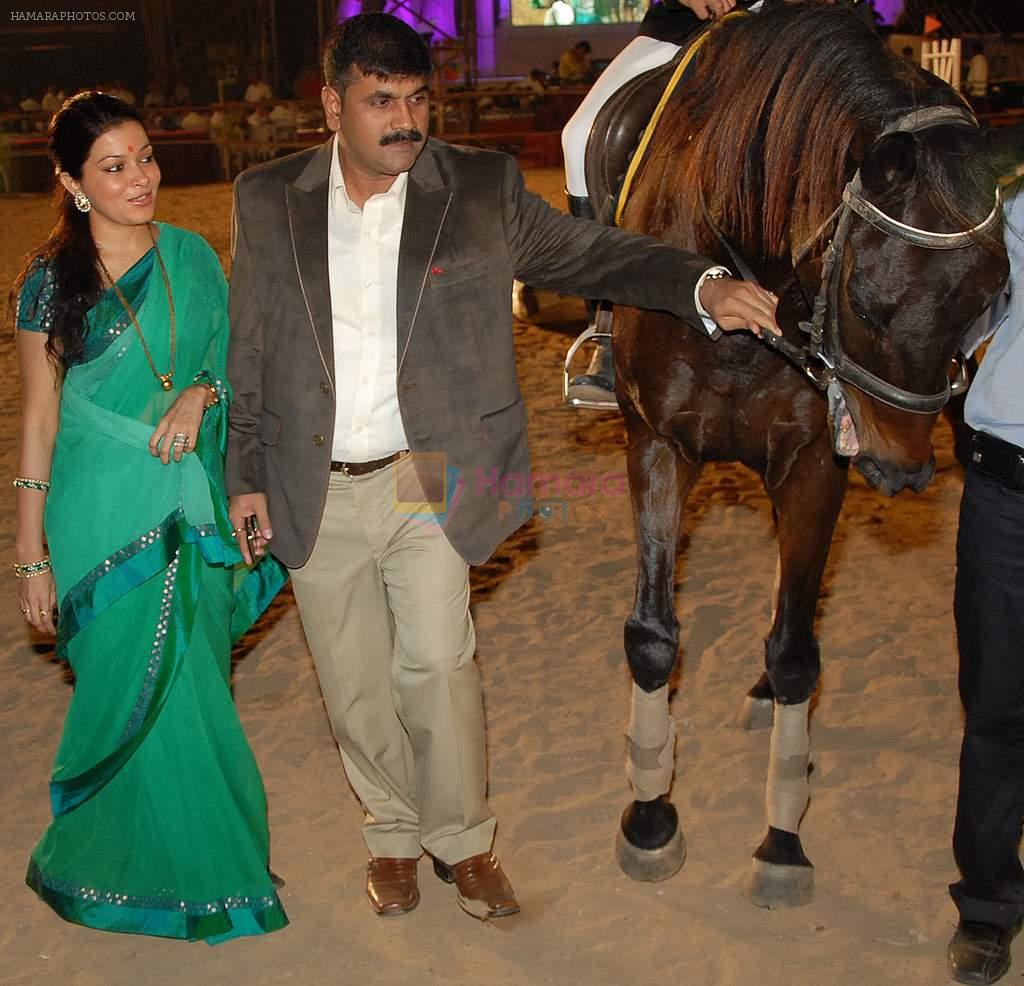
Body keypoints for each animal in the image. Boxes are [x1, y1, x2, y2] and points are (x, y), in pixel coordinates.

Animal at [602, 0, 1011, 909]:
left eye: (993, 299)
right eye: (868, 300)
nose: (904, 468)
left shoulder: (815, 467)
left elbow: (796, 653)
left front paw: (782, 840)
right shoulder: (656, 444)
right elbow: (652, 637)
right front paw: (650, 818)